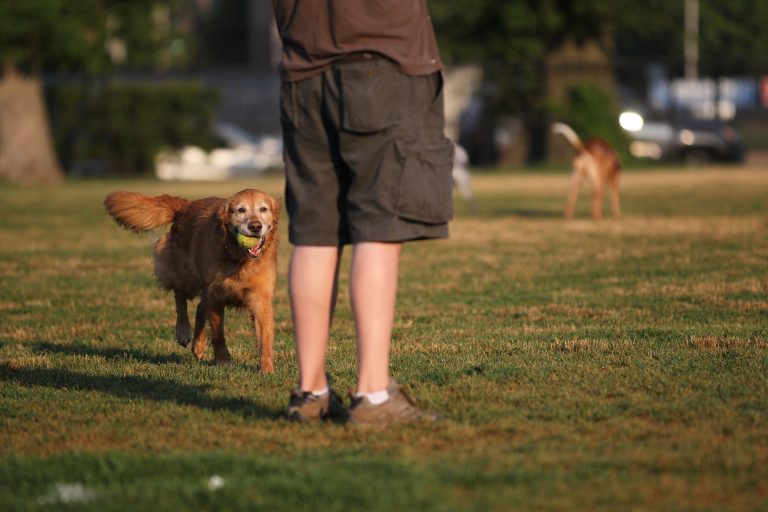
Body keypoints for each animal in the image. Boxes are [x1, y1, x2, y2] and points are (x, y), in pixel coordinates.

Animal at [104, 188, 280, 372]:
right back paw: (183, 331)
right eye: (241, 210)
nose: (255, 227)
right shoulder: (215, 296)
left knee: (200, 307)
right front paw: (223, 359)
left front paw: (267, 369)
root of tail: (185, 205)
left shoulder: (260, 298)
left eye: (263, 209)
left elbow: (264, 337)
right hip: (185, 275)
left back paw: (198, 345)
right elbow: (218, 334)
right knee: (180, 297)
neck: (239, 259)